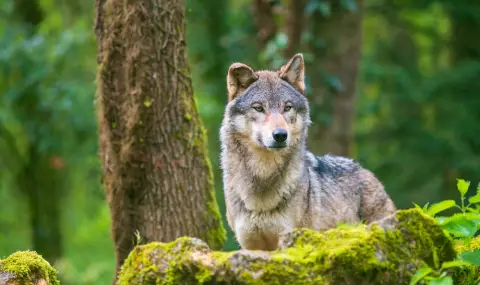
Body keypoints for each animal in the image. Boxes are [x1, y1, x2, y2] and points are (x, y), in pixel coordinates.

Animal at [219, 52, 396, 248]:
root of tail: (366, 171)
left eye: (287, 107)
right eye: (258, 108)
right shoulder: (250, 246)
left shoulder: (290, 238)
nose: (280, 135)